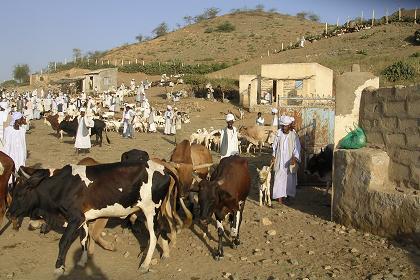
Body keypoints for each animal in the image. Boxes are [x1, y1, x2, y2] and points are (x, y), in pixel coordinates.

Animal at [8, 161, 176, 274]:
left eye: (20, 194)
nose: (9, 213)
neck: (62, 186)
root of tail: (163, 167)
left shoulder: (75, 218)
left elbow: (63, 242)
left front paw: (59, 267)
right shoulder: (83, 219)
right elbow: (84, 240)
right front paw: (82, 261)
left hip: (150, 210)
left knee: (153, 236)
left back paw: (145, 264)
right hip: (151, 211)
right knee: (161, 228)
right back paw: (165, 253)